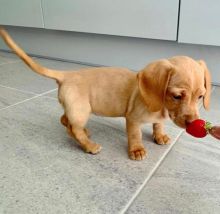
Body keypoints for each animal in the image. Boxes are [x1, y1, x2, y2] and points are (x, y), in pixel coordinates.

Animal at [0, 27, 211, 160]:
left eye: (200, 97)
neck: (161, 106)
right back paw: (89, 145)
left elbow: (158, 125)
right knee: (73, 128)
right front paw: (136, 150)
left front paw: (160, 136)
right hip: (81, 110)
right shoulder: (132, 119)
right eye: (177, 96)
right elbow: (135, 135)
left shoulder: (158, 117)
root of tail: (66, 75)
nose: (193, 123)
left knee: (66, 122)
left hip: (74, 108)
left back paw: (83, 134)